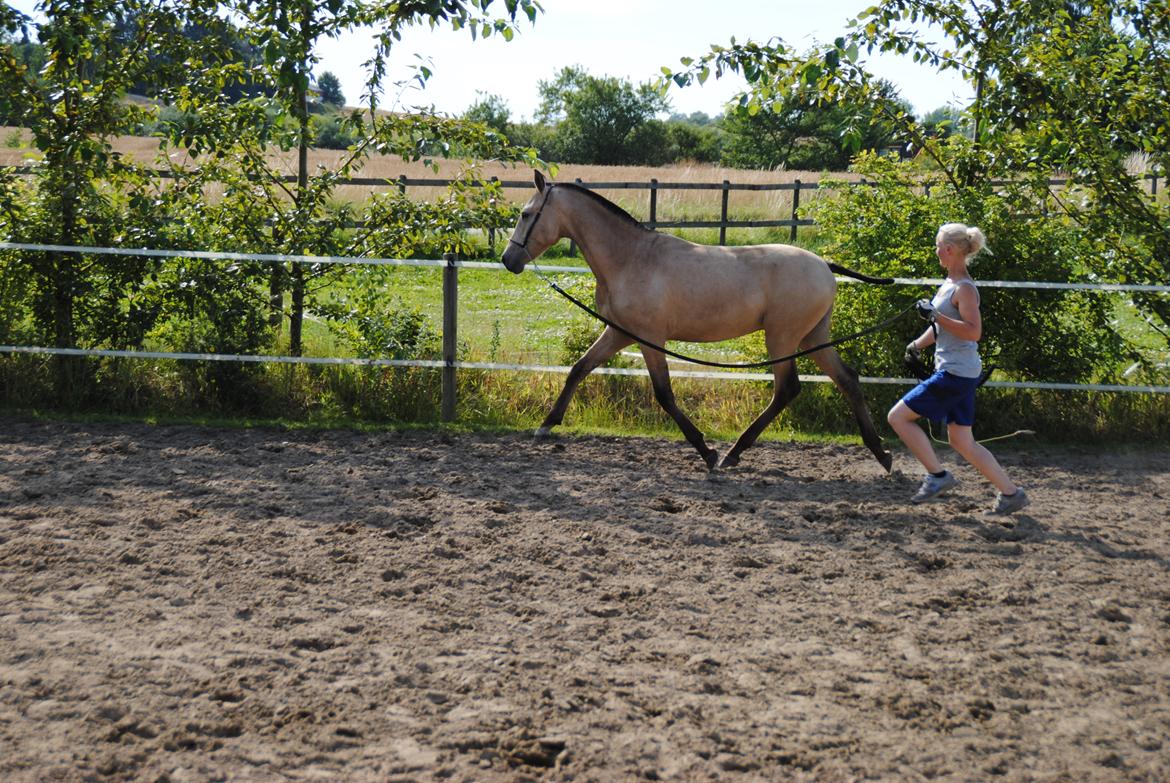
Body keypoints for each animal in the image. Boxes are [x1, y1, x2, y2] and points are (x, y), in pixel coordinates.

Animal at [498, 169, 889, 470]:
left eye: (526, 214)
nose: (507, 260)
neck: (630, 258)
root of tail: (825, 265)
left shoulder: (649, 338)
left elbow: (664, 394)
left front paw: (706, 451)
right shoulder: (619, 333)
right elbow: (579, 369)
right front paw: (546, 426)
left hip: (783, 337)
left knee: (787, 389)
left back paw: (732, 454)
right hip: (812, 338)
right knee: (847, 379)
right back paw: (882, 455)